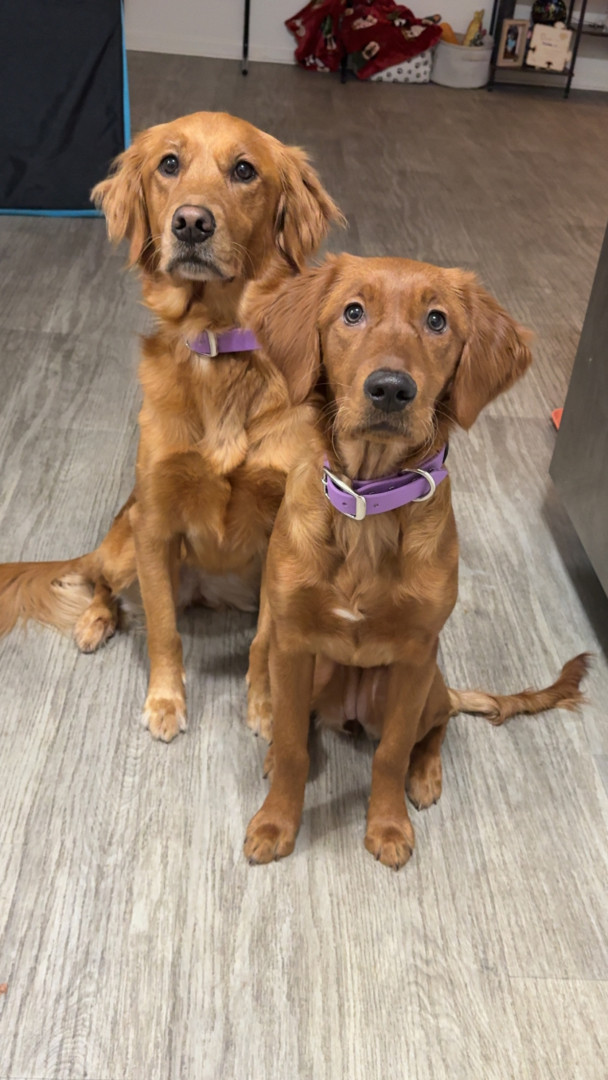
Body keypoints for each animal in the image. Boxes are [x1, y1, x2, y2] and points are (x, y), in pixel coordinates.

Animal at [0, 111, 343, 741]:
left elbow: (264, 642)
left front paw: (264, 705)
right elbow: (163, 630)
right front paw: (165, 702)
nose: (191, 223)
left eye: (244, 170)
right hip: (124, 542)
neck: (217, 339)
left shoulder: (283, 537)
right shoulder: (155, 524)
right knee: (104, 585)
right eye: (169, 164)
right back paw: (94, 620)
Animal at [241, 254, 588, 869]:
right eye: (353, 312)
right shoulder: (292, 644)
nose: (390, 389)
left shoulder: (413, 658)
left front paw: (387, 827)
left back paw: (426, 776)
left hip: (427, 685)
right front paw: (277, 821)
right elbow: (291, 741)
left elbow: (392, 752)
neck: (368, 509)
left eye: (437, 320)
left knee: (440, 722)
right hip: (320, 671)